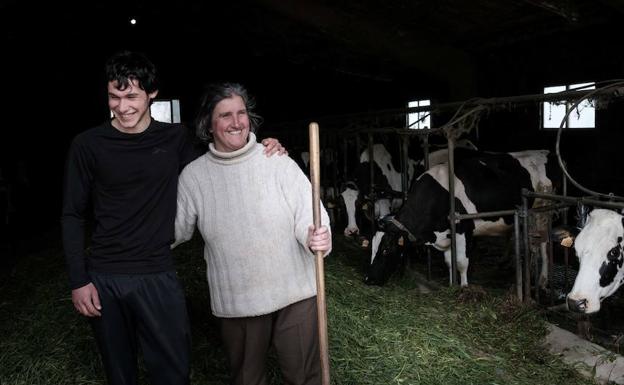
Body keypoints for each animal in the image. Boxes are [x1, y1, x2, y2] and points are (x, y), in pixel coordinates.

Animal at [364, 148, 560, 286]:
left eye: (386, 250)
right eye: (370, 248)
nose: (368, 279)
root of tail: (544, 152)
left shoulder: (463, 228)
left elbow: (460, 262)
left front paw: (464, 288)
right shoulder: (446, 233)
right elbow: (449, 262)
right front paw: (452, 283)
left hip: (543, 212)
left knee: (544, 244)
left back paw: (542, 280)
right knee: (530, 243)